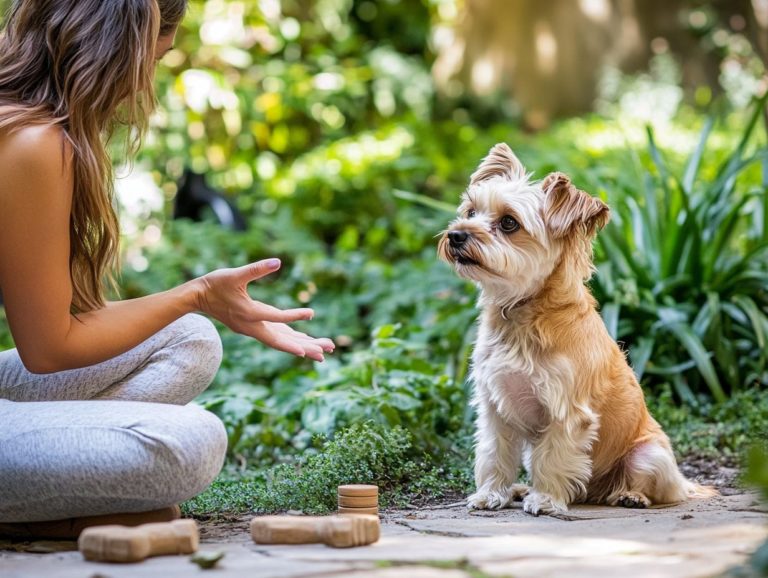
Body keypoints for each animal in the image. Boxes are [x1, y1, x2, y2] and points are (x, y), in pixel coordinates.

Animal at [438, 143, 720, 512]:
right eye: (471, 211)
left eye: (509, 222)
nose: (456, 234)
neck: (521, 312)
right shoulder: (495, 409)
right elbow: (493, 454)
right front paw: (492, 493)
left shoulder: (567, 412)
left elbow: (552, 458)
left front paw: (545, 499)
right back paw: (522, 489)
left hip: (649, 456)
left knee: (655, 490)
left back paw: (631, 495)